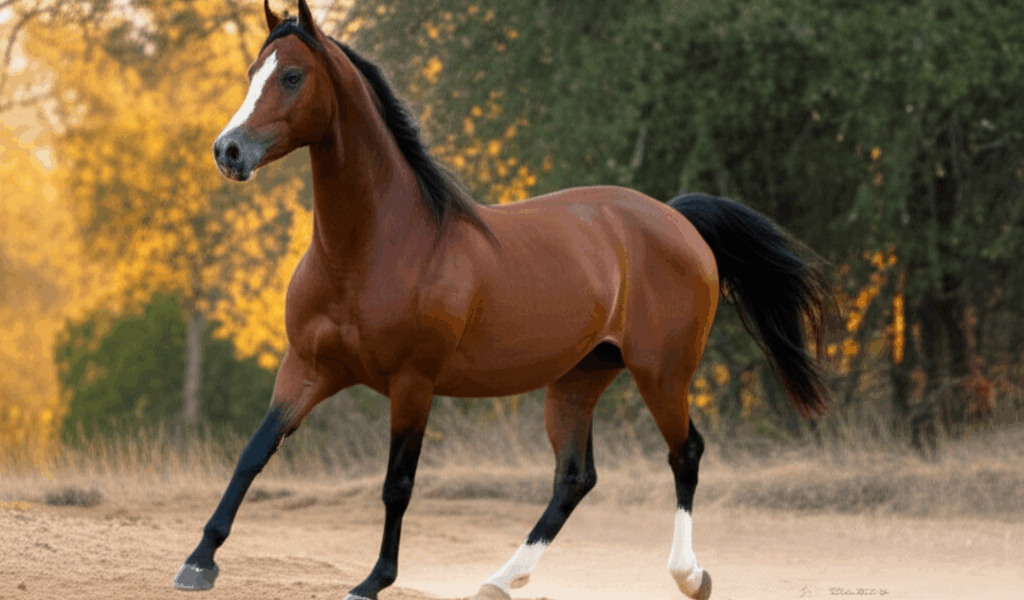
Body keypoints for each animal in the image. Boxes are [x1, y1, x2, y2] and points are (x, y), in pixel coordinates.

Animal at [173, 2, 836, 599]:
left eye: (291, 76)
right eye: (252, 72)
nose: (228, 152)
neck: (373, 247)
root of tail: (677, 221)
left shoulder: (413, 383)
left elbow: (397, 484)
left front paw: (372, 582)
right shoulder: (307, 368)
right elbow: (253, 454)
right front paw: (198, 562)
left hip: (662, 373)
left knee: (685, 454)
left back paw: (690, 577)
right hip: (578, 380)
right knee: (574, 478)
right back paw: (499, 580)